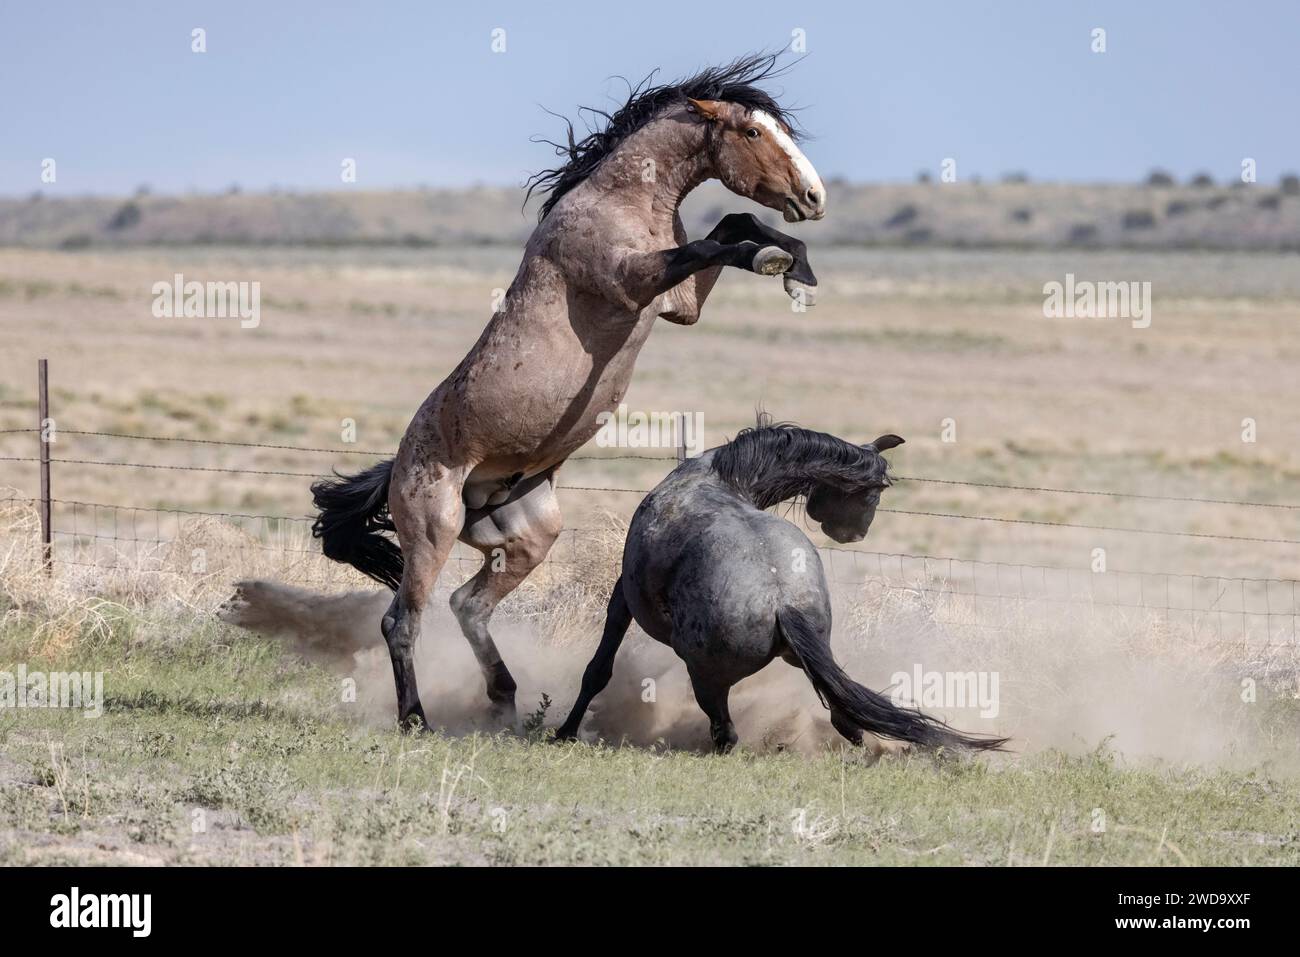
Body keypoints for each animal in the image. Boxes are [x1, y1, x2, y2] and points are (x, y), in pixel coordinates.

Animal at [309, 55, 826, 728]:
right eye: (754, 133)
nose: (814, 198)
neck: (623, 201)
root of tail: (398, 466)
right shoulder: (632, 280)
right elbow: (714, 241)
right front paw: (775, 263)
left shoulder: (678, 304)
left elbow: (730, 226)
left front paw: (798, 269)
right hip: (433, 530)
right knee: (402, 620)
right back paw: (416, 717)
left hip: (527, 538)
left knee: (467, 604)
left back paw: (504, 696)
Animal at [553, 421, 1008, 754]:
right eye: (876, 492)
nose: (856, 534)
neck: (720, 477)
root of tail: (782, 602)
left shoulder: (622, 596)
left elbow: (598, 670)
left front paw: (566, 731)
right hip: (801, 658)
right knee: (844, 717)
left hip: (706, 677)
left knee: (726, 734)